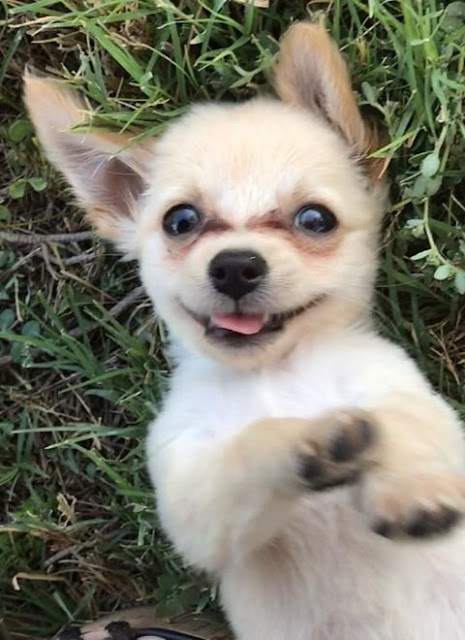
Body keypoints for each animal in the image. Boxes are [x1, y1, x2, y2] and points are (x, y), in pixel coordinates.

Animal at [24, 21, 464, 640]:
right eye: (180, 220)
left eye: (315, 219)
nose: (234, 266)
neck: (273, 374)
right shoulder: (190, 491)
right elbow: (247, 449)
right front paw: (303, 438)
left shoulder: (413, 399)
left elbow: (407, 427)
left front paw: (414, 486)